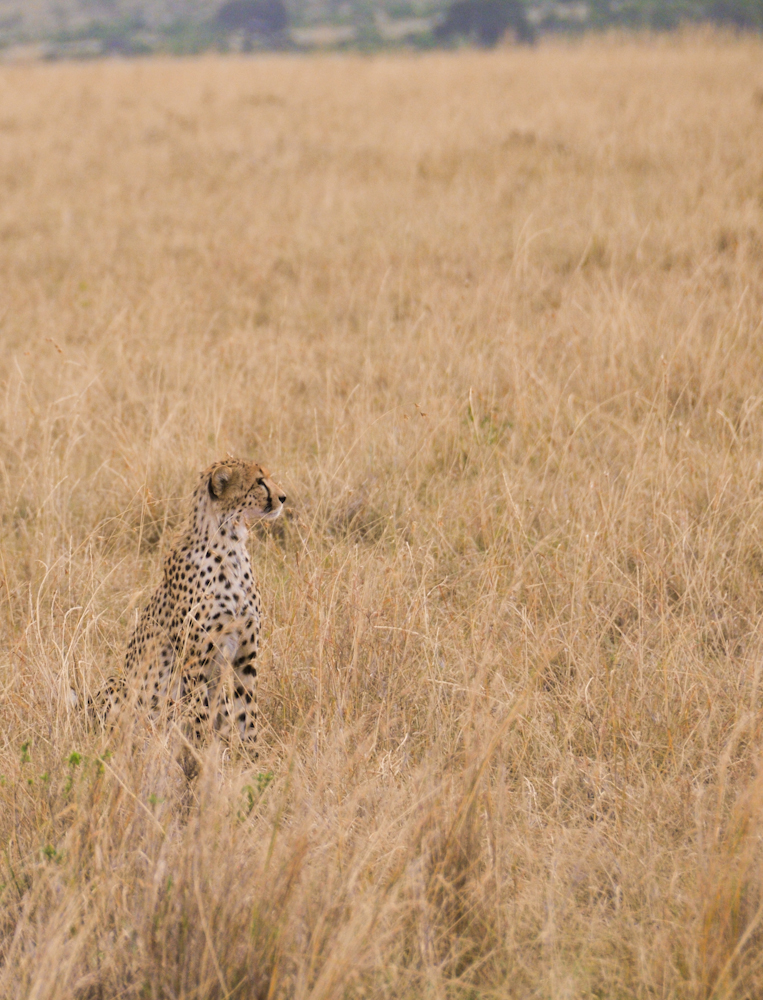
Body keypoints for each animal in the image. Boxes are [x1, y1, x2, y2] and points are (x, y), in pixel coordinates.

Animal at [97, 458, 286, 744]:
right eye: (259, 482)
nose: (283, 497)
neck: (229, 545)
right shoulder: (195, 660)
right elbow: (201, 714)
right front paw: (201, 750)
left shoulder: (245, 655)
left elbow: (247, 712)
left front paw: (251, 752)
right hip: (117, 685)